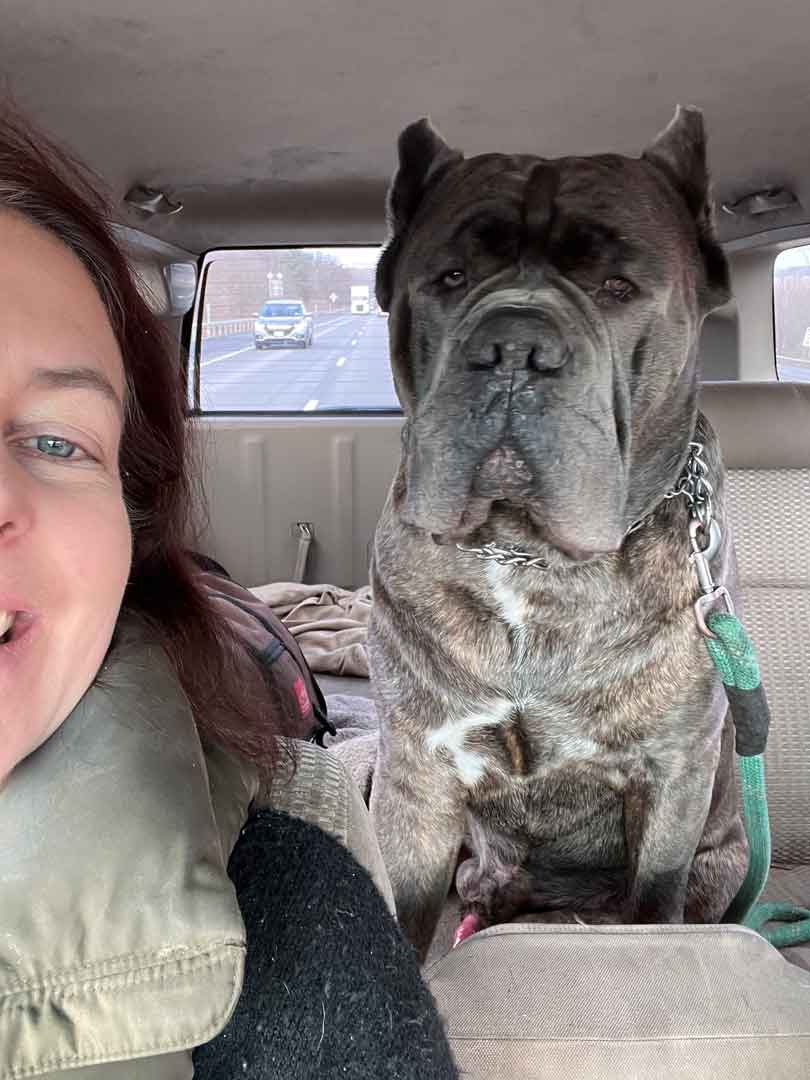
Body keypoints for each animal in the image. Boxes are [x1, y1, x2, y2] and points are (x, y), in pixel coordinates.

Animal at [367, 105, 747, 959]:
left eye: (618, 288)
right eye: (450, 279)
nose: (514, 345)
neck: (528, 557)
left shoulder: (672, 774)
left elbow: (656, 902)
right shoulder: (415, 768)